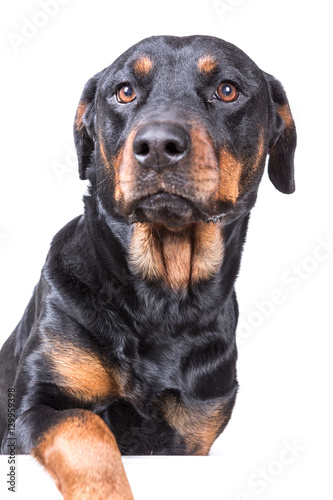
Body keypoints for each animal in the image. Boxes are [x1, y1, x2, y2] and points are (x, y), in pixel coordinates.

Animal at [0, 34, 296, 496]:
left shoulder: (194, 432)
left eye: (228, 89)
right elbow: (86, 429)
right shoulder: (36, 406)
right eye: (124, 91)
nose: (157, 145)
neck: (162, 301)